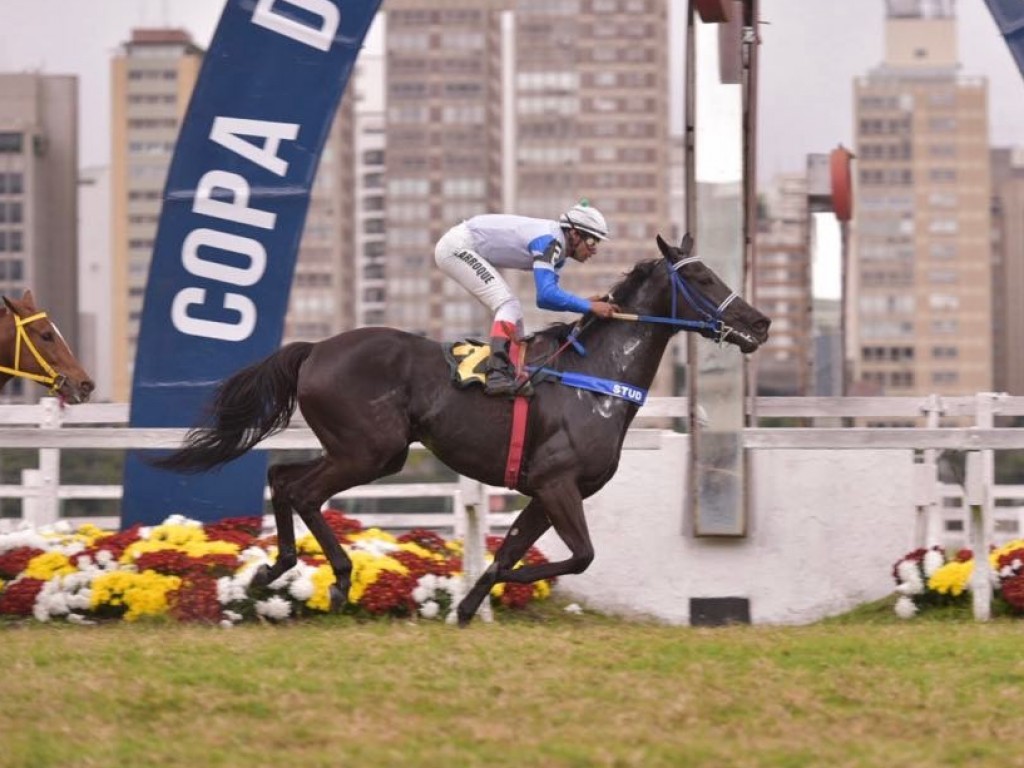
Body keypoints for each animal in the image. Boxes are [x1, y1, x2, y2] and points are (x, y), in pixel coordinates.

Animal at [151, 234, 770, 626]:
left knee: (282, 477)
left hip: (362, 450)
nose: (760, 322)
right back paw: (338, 578)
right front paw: (514, 585)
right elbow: (579, 556)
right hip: (371, 451)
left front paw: (469, 608)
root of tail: (316, 348)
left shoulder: (544, 491)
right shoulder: (558, 483)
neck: (594, 376)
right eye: (700, 276)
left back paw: (273, 570)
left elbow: (511, 548)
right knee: (301, 491)